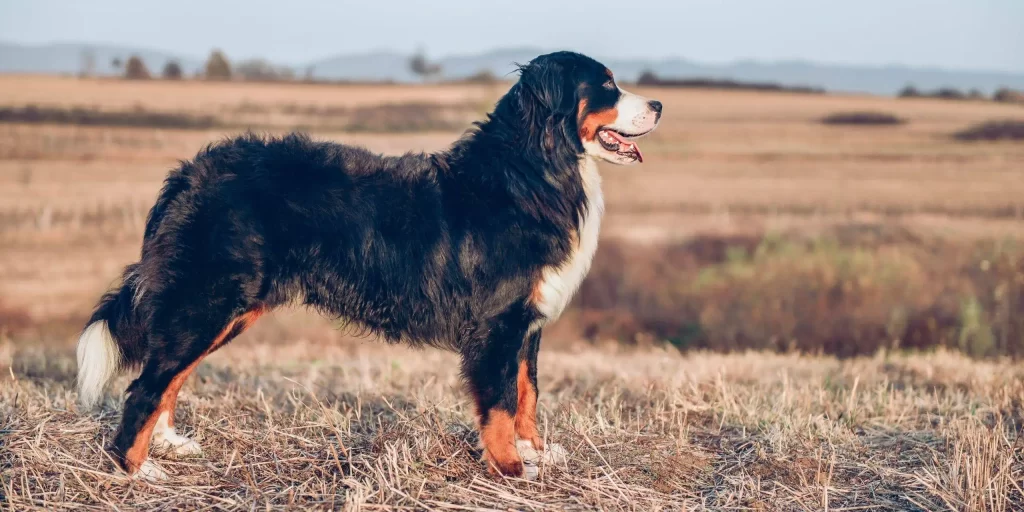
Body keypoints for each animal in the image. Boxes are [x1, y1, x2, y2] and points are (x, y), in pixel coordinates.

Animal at [74, 51, 663, 479]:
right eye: (606, 86)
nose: (659, 104)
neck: (533, 168)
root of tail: (190, 173)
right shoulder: (497, 324)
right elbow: (498, 402)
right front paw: (513, 469)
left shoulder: (527, 324)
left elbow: (527, 394)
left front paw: (537, 452)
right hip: (207, 300)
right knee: (146, 387)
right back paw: (135, 472)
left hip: (225, 308)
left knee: (168, 377)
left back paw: (169, 445)